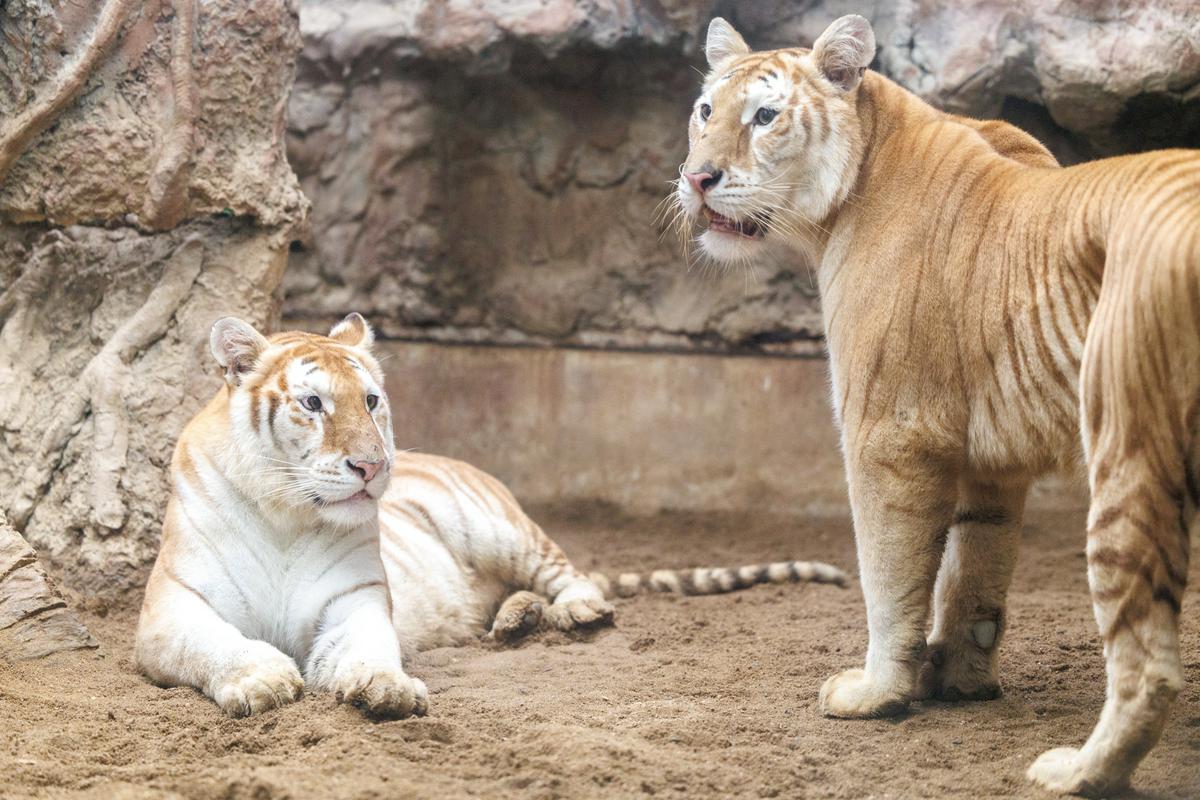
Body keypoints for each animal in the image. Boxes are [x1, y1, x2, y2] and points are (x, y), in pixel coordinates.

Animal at [133, 311, 844, 719]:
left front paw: (386, 686)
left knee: (567, 573)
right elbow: (215, 642)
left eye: (371, 400)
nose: (372, 465)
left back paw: (574, 612)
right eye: (312, 403)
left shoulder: (354, 601)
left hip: (499, 529)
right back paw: (513, 620)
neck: (287, 516)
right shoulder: (173, 609)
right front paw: (263, 679)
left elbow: (368, 646)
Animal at [676, 14, 1200, 800]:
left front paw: (876, 693)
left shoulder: (887, 434)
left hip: (1131, 452)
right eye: (705, 110)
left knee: (1146, 661)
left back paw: (1075, 772)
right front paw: (960, 679)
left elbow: (889, 574)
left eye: (764, 117)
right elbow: (974, 569)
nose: (696, 178)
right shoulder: (994, 461)